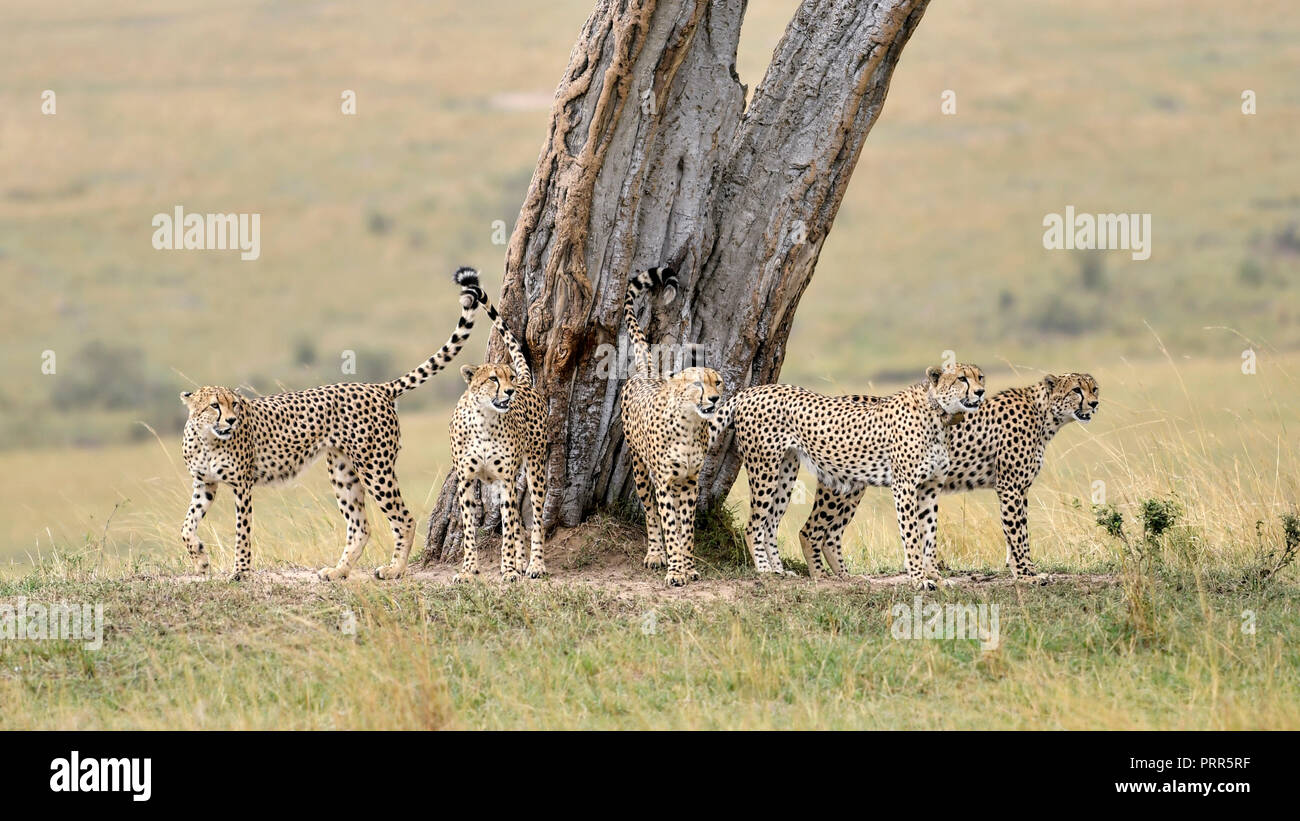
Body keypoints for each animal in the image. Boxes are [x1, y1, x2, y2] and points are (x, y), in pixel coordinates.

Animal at [174, 266, 478, 579]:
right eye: (214, 405)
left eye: (234, 404)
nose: (232, 420)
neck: (208, 439)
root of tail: (378, 387)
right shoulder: (204, 483)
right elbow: (185, 526)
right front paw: (200, 559)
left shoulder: (242, 485)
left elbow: (242, 531)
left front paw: (242, 571)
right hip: (343, 471)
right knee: (360, 526)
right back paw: (338, 571)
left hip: (375, 467)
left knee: (404, 518)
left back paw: (394, 569)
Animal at [449, 268, 546, 584]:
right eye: (493, 378)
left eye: (509, 377)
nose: (511, 391)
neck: (485, 423)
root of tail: (529, 384)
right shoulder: (466, 481)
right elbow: (469, 531)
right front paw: (468, 570)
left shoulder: (505, 480)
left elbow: (509, 531)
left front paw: (509, 570)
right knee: (517, 522)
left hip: (535, 468)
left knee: (535, 519)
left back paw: (534, 565)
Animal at [616, 266, 722, 587]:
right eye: (697, 384)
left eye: (718, 382)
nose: (715, 398)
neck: (690, 426)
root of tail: (648, 372)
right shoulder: (664, 481)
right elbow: (671, 526)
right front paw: (675, 570)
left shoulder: (689, 482)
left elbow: (686, 529)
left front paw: (688, 567)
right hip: (640, 468)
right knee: (650, 513)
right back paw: (655, 554)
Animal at [712, 366, 982, 589]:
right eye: (961, 378)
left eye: (980, 376)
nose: (980, 392)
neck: (939, 414)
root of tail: (752, 390)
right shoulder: (905, 486)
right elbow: (912, 535)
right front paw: (919, 579)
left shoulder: (930, 487)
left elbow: (929, 534)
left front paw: (935, 576)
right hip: (765, 467)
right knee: (756, 525)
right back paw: (766, 569)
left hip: (788, 473)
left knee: (775, 524)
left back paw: (787, 571)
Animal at [795, 371, 1102, 584]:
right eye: (1076, 390)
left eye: (1094, 388)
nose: (1095, 403)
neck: (1046, 415)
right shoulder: (1011, 487)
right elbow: (1019, 533)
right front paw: (1028, 574)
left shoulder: (1016, 489)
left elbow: (1012, 533)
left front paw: (1018, 570)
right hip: (842, 486)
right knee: (811, 530)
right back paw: (823, 577)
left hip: (852, 485)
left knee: (831, 533)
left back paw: (846, 577)